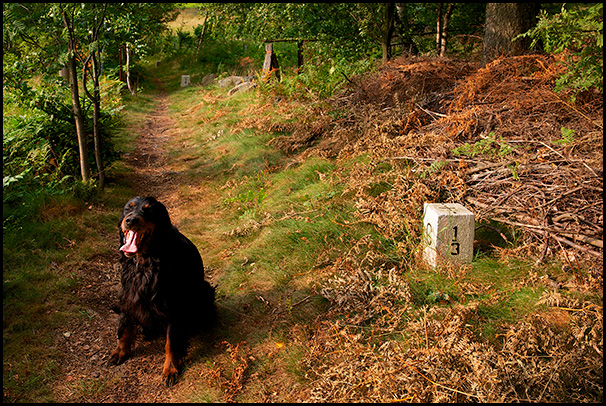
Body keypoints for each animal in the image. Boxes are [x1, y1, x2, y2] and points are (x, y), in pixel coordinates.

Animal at [110, 195, 217, 386]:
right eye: (128, 208)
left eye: (149, 210)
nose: (130, 220)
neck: (145, 261)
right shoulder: (129, 294)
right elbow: (124, 326)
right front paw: (120, 351)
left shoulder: (172, 306)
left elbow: (171, 342)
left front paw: (170, 369)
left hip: (204, 291)